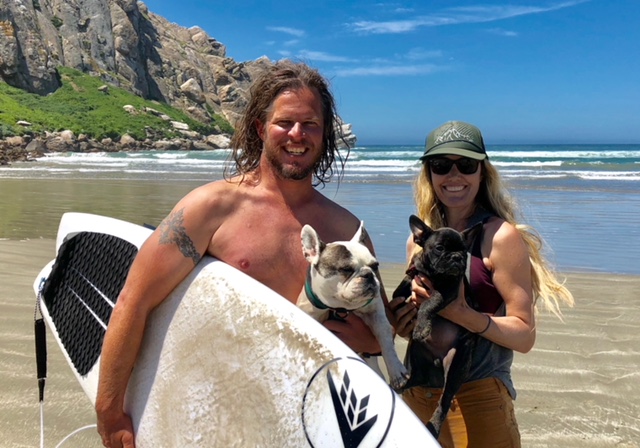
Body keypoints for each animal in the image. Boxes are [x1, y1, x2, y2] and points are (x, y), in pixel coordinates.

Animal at [297, 221, 409, 391]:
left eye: (375, 266)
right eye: (346, 269)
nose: (368, 274)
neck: (340, 307)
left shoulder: (376, 312)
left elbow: (385, 340)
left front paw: (396, 370)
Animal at [392, 215, 481, 438]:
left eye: (464, 250)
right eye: (440, 248)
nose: (457, 257)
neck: (433, 274)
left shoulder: (448, 290)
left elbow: (428, 303)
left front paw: (422, 325)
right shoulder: (410, 278)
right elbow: (398, 296)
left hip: (457, 366)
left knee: (445, 400)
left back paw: (433, 425)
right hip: (414, 357)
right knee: (413, 377)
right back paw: (399, 384)